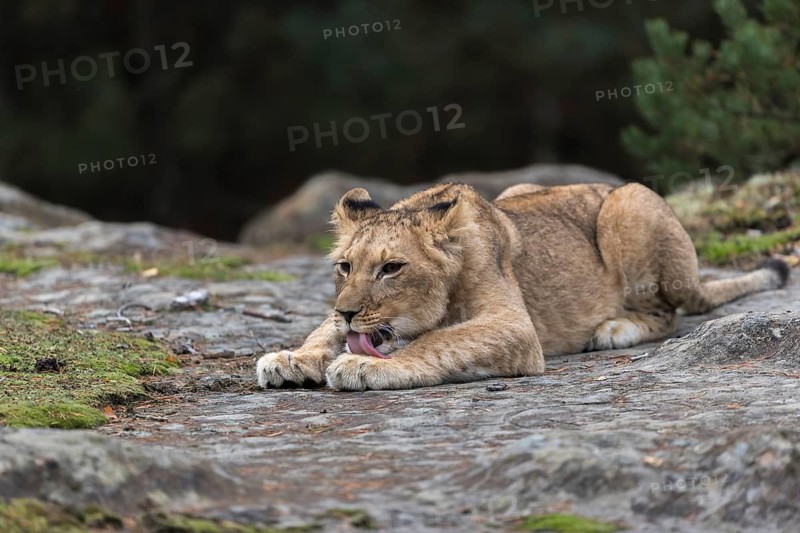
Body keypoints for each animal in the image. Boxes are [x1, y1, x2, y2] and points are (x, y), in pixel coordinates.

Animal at [256, 182, 790, 391]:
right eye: (345, 267)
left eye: (391, 268)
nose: (350, 311)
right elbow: (324, 329)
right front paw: (291, 357)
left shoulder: (515, 327)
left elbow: (437, 341)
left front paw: (365, 366)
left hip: (629, 204)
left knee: (668, 314)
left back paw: (614, 329)